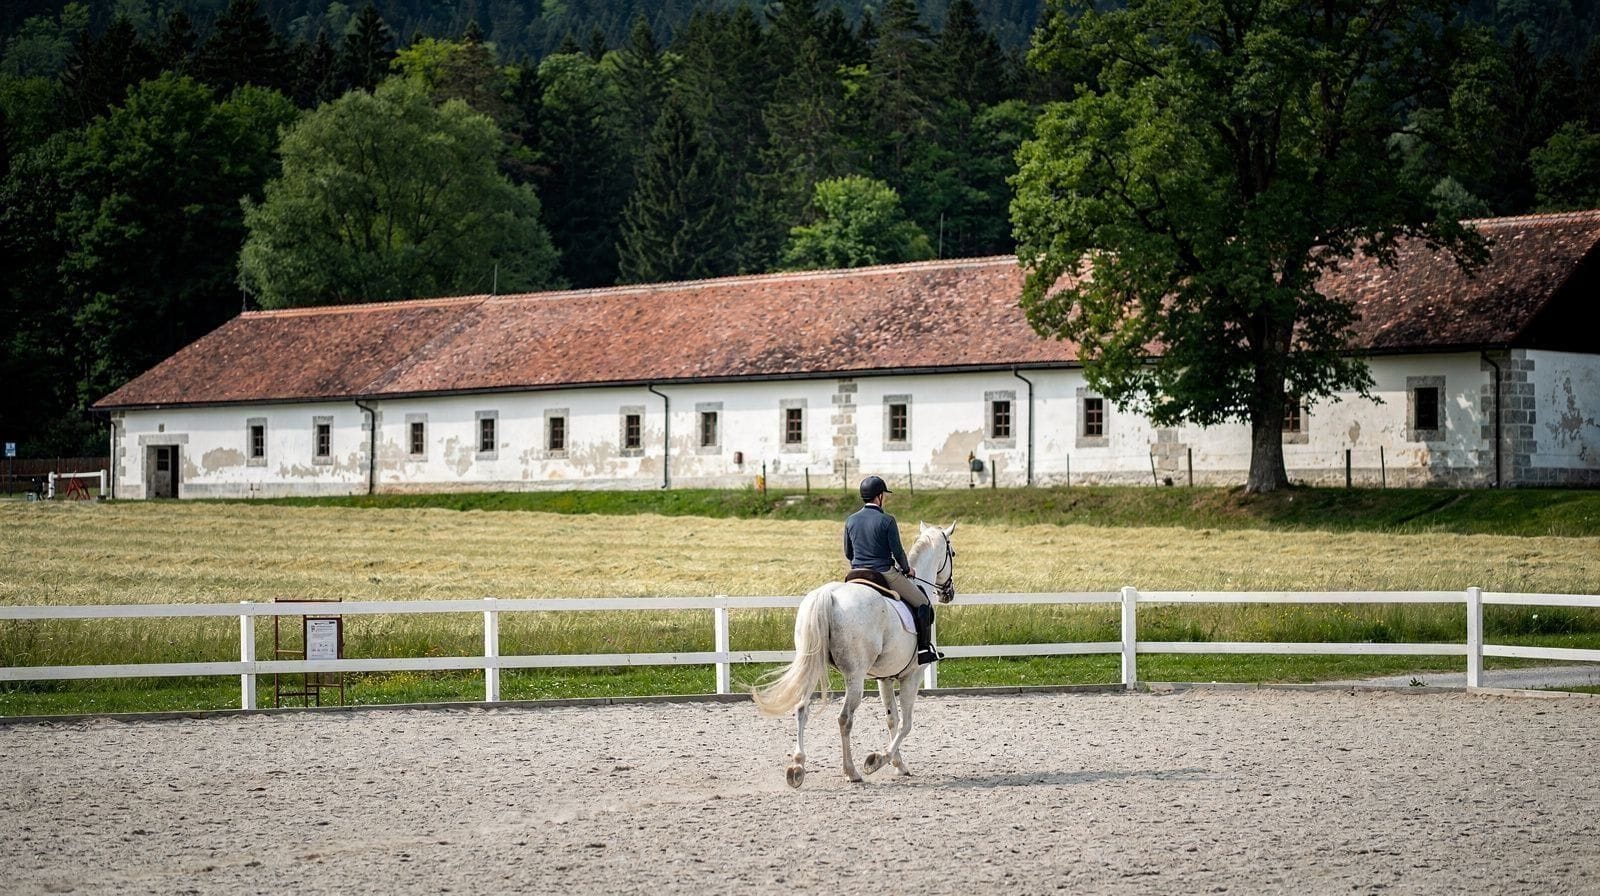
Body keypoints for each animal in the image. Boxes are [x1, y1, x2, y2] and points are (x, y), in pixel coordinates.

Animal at [752, 522, 957, 788]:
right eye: (953, 554)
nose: (948, 593)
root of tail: (828, 595)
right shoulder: (912, 675)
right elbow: (906, 723)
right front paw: (878, 760)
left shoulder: (885, 678)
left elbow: (891, 719)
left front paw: (898, 765)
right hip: (855, 676)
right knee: (844, 718)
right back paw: (851, 772)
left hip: (813, 666)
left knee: (802, 708)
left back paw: (797, 768)